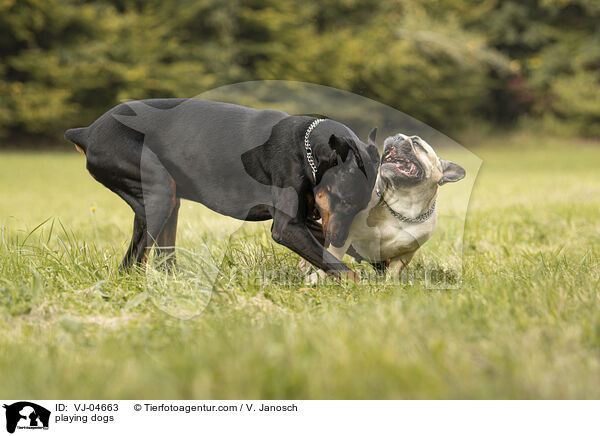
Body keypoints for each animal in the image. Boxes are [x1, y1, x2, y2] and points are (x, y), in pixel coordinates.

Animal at [64, 98, 376, 280]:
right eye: (344, 201)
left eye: (359, 208)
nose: (338, 239)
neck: (306, 147)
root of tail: (87, 132)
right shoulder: (288, 227)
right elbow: (344, 270)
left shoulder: (309, 220)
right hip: (157, 189)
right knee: (132, 264)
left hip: (169, 200)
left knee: (158, 259)